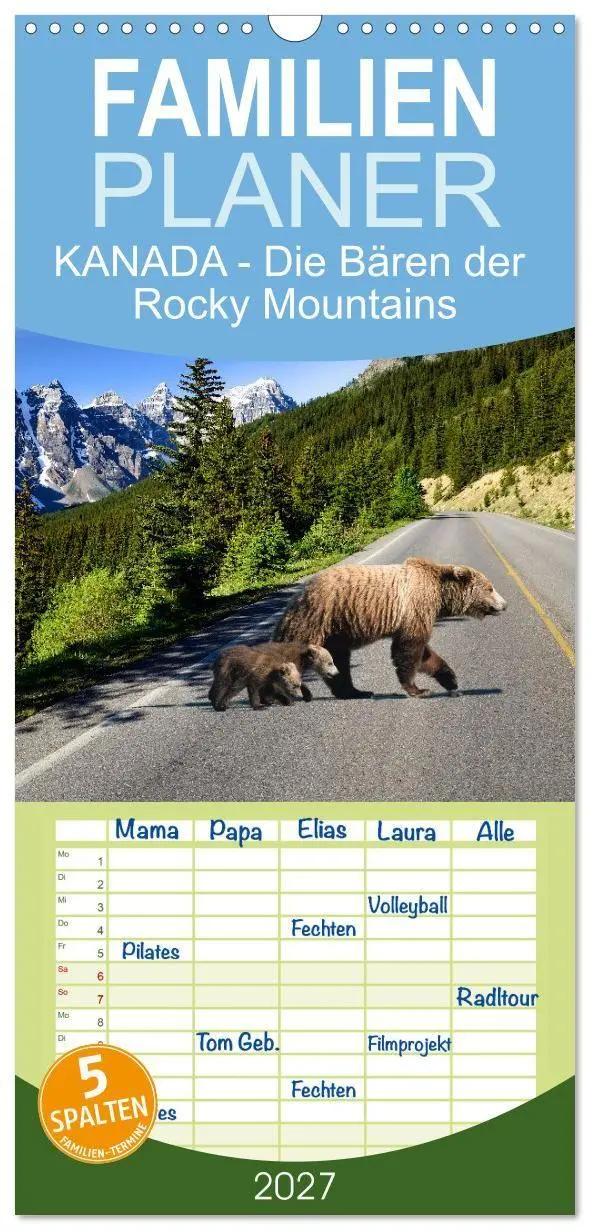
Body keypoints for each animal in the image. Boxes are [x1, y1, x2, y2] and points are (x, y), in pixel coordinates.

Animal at [208, 641, 338, 711]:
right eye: (330, 662)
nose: (337, 673)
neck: (303, 659)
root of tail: (219, 656)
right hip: (229, 670)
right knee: (222, 685)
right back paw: (218, 703)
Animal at [273, 556, 507, 700]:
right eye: (490, 588)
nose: (504, 604)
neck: (440, 596)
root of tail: (294, 598)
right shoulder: (415, 607)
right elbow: (409, 650)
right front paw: (418, 689)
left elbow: (426, 655)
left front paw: (451, 681)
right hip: (315, 618)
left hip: (335, 632)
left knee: (339, 662)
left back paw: (356, 691)